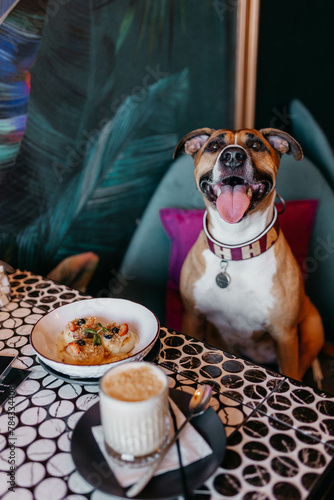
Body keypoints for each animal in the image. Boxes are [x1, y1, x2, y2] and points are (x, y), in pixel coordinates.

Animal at [175, 128, 324, 378]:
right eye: (213, 146)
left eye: (256, 146)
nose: (233, 156)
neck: (236, 247)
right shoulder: (192, 318)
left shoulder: (285, 335)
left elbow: (291, 371)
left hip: (312, 329)